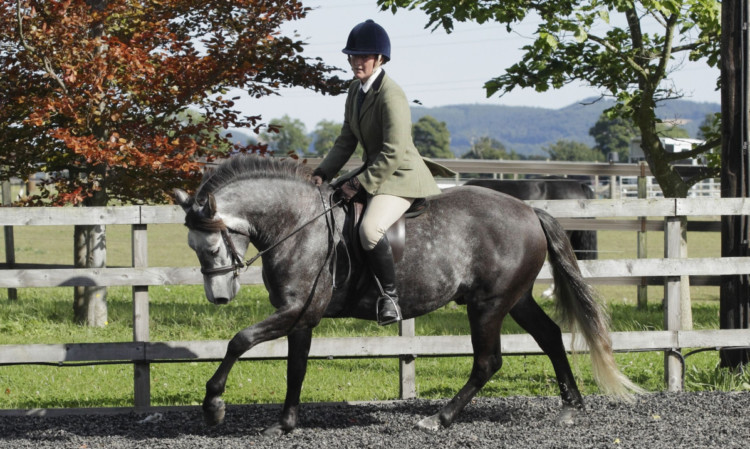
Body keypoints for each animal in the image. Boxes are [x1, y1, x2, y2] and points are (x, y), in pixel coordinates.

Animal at [173, 156, 644, 436]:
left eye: (212, 247)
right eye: (193, 248)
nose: (219, 298)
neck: (299, 224)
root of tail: (529, 210)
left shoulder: (293, 312)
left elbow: (240, 341)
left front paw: (214, 405)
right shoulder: (300, 316)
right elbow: (296, 368)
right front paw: (286, 424)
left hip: (488, 305)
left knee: (488, 361)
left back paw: (440, 418)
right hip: (516, 299)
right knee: (549, 337)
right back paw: (571, 406)